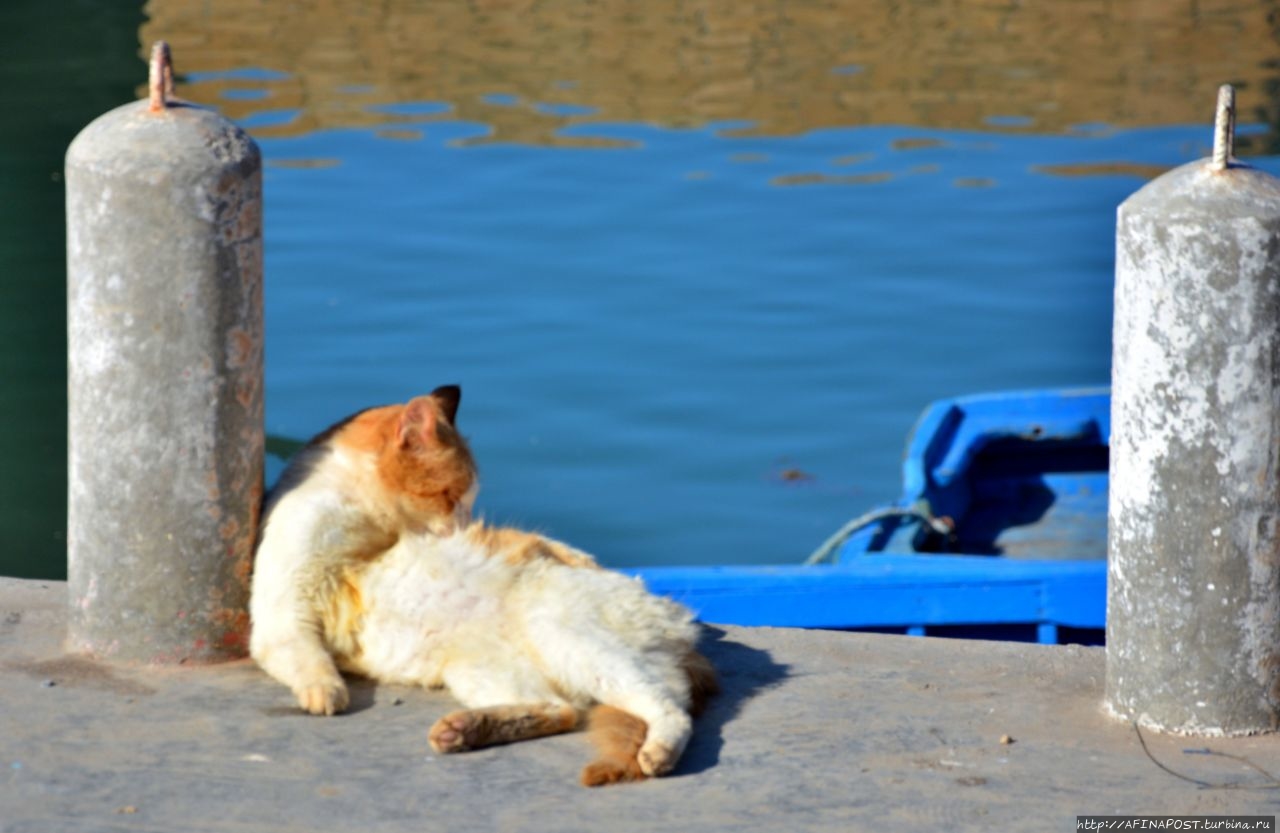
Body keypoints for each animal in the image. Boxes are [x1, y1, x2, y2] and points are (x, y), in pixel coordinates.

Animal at [249, 388, 721, 783]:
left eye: (468, 502)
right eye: (450, 495)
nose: (464, 522)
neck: (364, 520)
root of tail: (684, 632)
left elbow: (543, 543)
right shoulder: (282, 620)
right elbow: (310, 661)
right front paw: (326, 692)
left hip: (573, 641)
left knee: (670, 709)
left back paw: (658, 753)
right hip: (481, 668)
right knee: (562, 709)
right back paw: (465, 730)